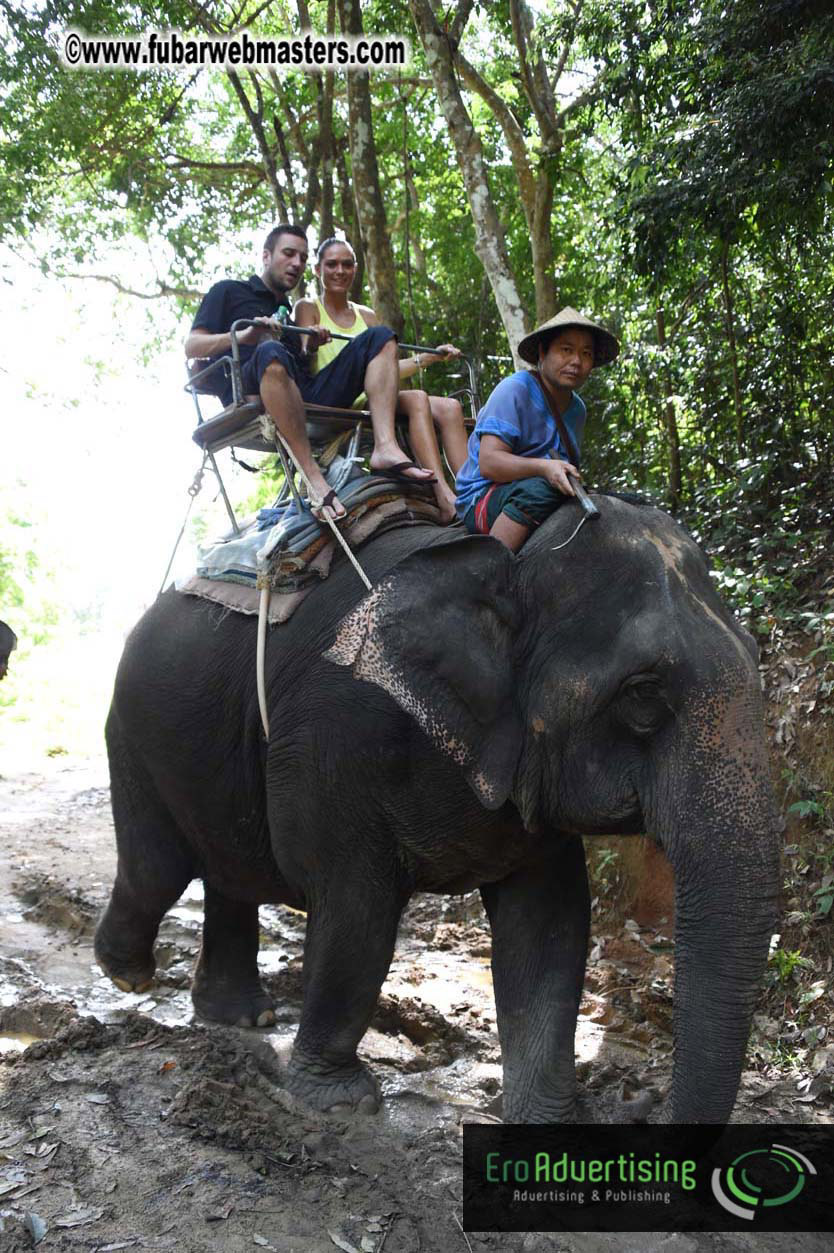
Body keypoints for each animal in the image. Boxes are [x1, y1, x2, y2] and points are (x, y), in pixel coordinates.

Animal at [95, 494, 781, 1123]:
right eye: (642, 696)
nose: (643, 1104)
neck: (514, 565)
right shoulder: (334, 737)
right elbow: (357, 911)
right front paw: (340, 1100)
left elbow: (551, 926)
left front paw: (544, 1122)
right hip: (134, 727)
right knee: (159, 866)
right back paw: (130, 976)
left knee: (227, 872)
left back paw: (240, 1014)